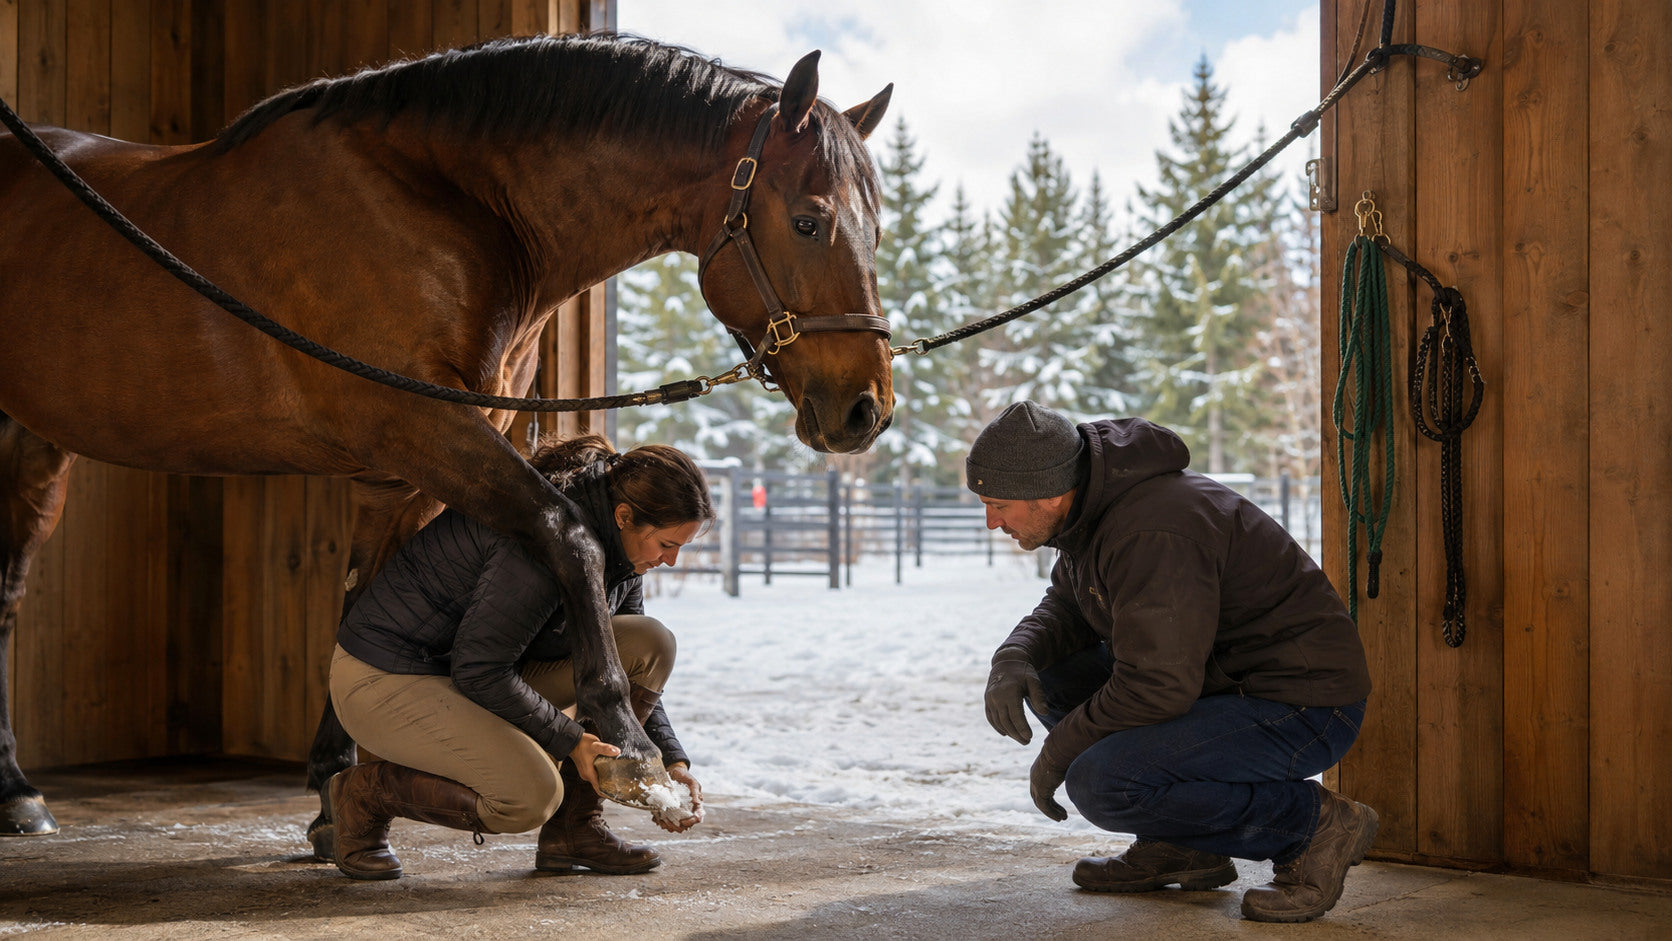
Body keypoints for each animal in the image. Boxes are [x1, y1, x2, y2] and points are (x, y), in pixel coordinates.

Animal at [0, 33, 894, 854]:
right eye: (809, 221)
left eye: (876, 230)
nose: (866, 408)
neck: (451, 210)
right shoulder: (424, 429)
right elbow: (569, 532)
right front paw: (632, 753)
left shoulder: (411, 468)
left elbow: (363, 599)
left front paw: (335, 792)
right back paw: (17, 791)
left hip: (34, 445)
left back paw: (18, 791)